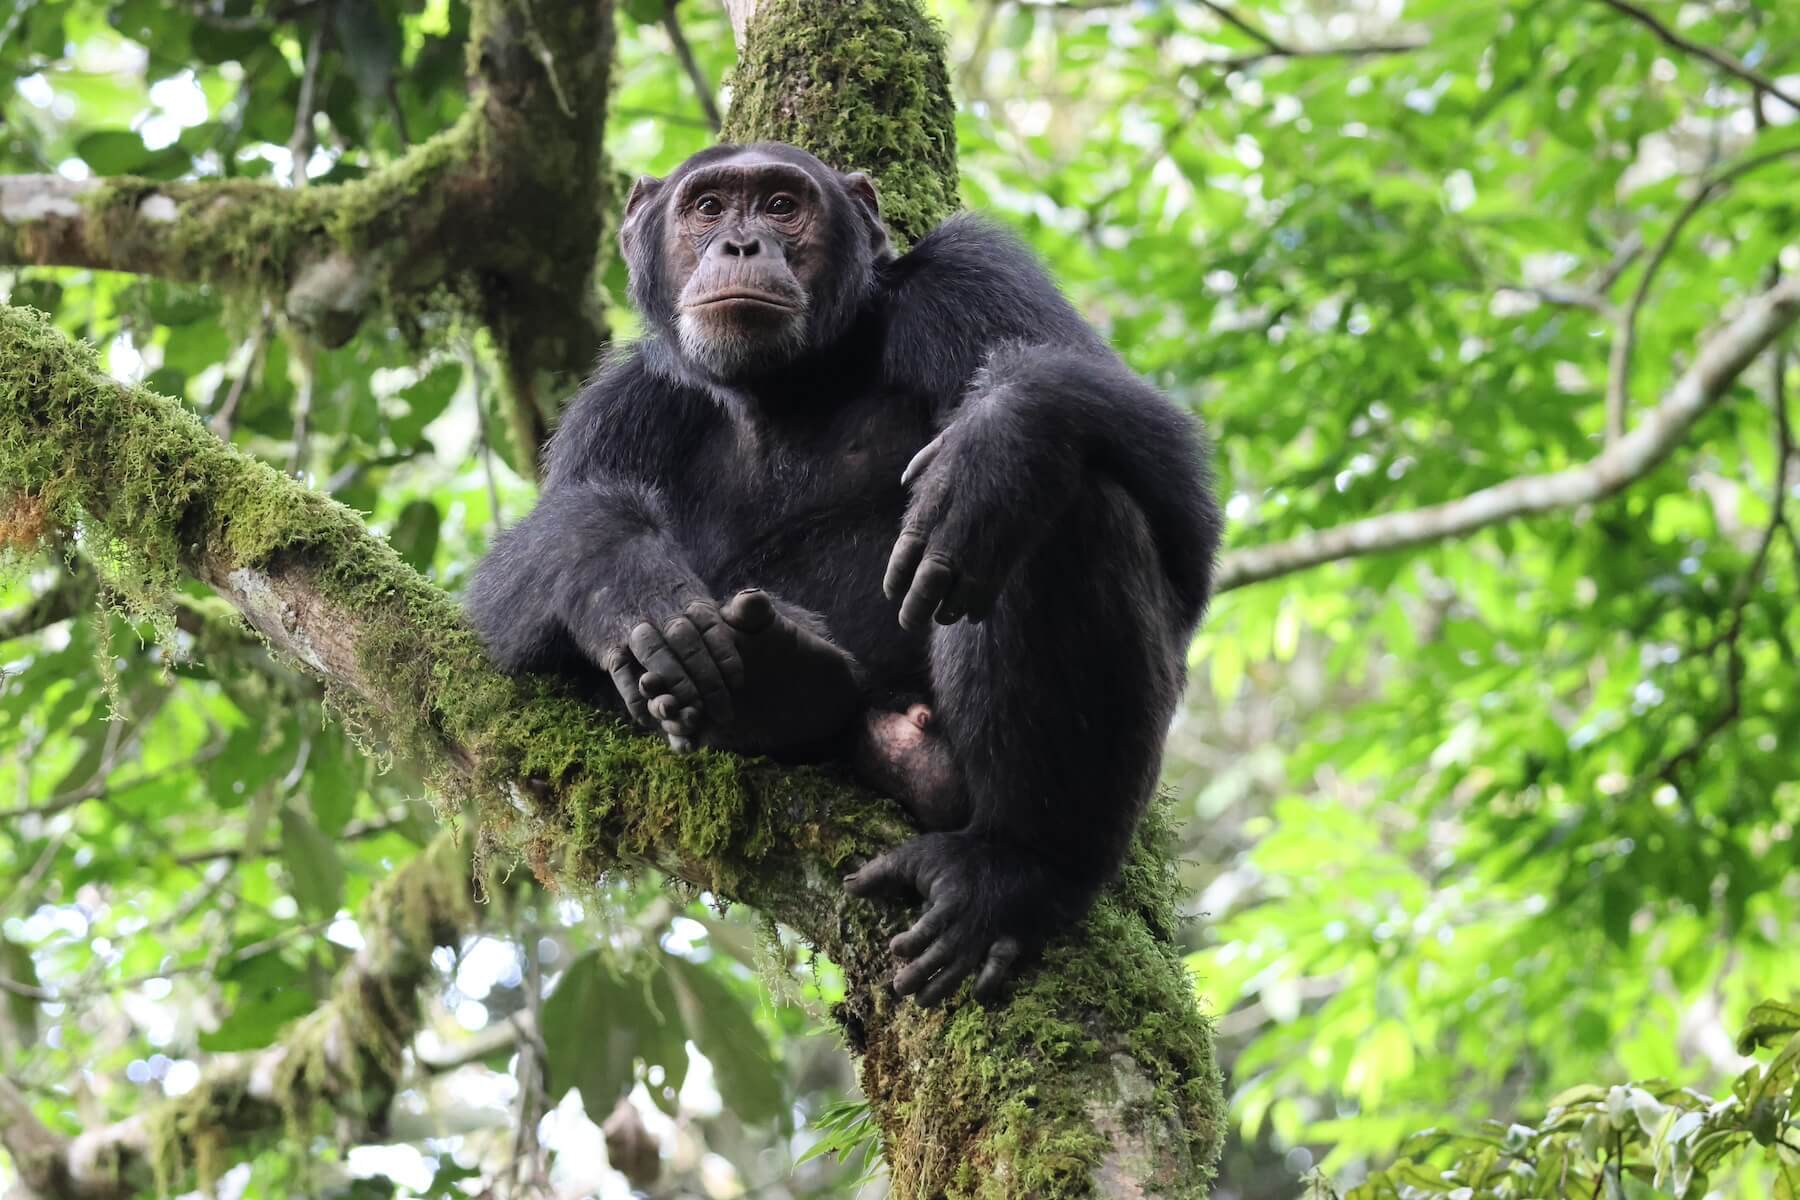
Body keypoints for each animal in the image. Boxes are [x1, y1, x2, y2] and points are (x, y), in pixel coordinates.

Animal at [468, 138, 1224, 1007]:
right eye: (708, 208)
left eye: (781, 206)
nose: (741, 244)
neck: (793, 383)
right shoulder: (618, 409)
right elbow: (507, 625)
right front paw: (624, 576)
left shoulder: (971, 277)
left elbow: (1182, 513)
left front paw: (995, 448)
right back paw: (773, 684)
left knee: (1069, 509)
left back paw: (1014, 868)